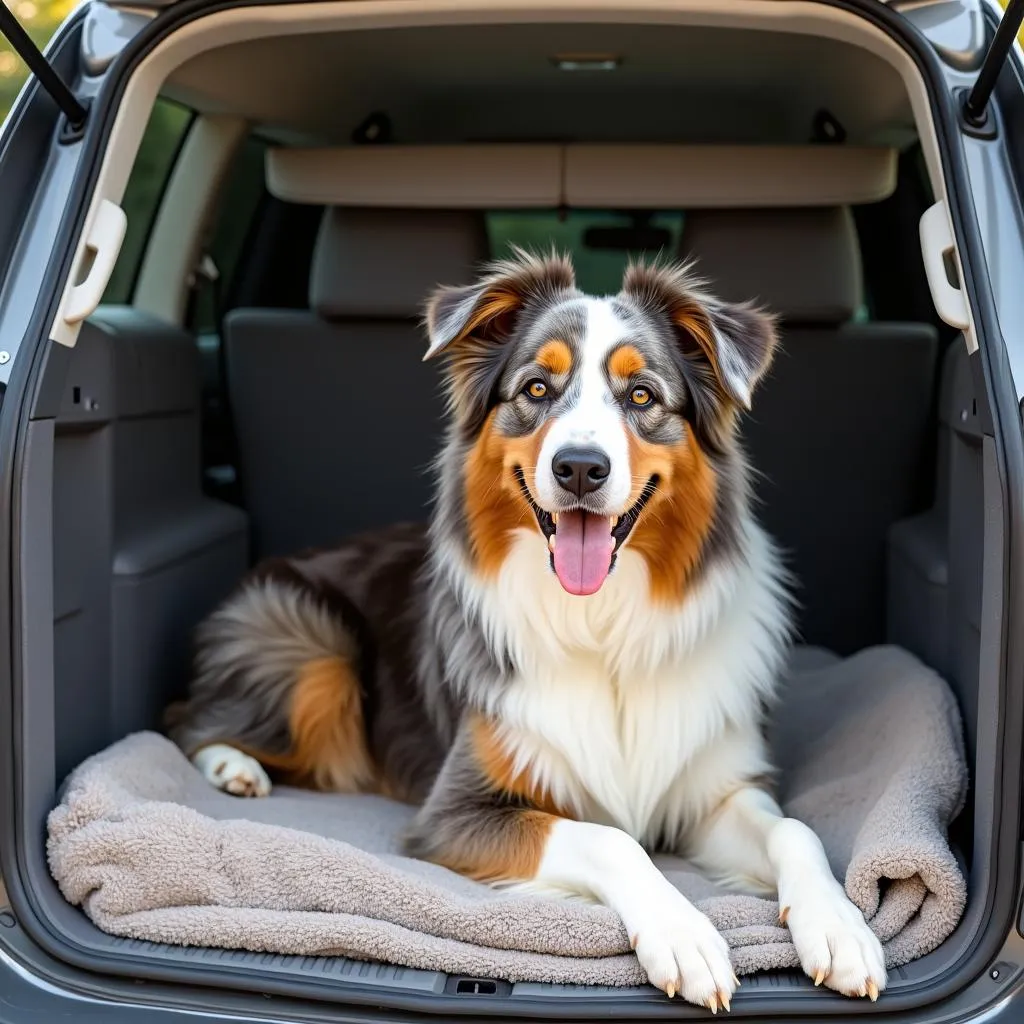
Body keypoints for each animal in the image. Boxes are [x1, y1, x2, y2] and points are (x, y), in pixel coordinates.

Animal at [165, 249, 880, 1007]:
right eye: (536, 387)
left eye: (643, 397)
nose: (579, 467)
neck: (600, 623)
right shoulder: (455, 812)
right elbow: (610, 839)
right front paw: (683, 934)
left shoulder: (713, 789)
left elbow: (796, 831)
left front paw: (840, 927)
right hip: (316, 649)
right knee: (185, 716)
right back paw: (235, 767)